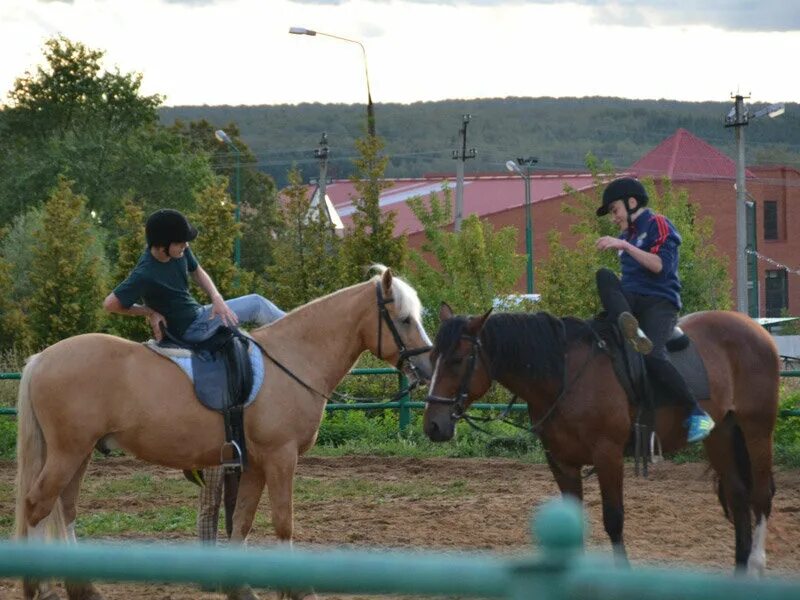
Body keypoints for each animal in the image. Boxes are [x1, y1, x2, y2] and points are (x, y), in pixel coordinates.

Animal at [15, 268, 434, 600]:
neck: (294, 360)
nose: (429, 367)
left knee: (64, 508)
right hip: (68, 452)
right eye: (404, 319)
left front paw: (240, 588)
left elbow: (244, 519)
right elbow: (283, 521)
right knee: (37, 505)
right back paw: (43, 589)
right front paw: (298, 590)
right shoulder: (281, 458)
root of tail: (42, 359)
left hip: (80, 453)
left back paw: (82, 588)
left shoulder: (254, 465)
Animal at [424, 304, 780, 572]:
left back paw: (757, 564)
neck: (565, 376)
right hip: (721, 434)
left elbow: (614, 520)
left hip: (757, 429)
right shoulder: (561, 462)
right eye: (431, 359)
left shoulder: (608, 455)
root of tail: (756, 328)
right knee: (738, 495)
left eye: (457, 360)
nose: (433, 425)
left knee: (760, 495)